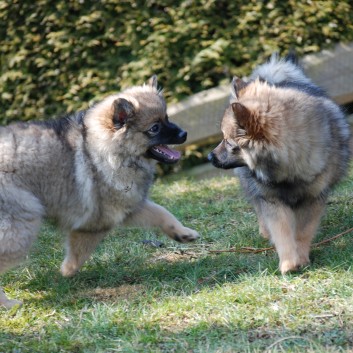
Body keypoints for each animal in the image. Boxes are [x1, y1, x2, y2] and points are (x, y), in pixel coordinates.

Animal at [0, 75, 198, 306]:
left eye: (167, 118)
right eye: (155, 128)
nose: (184, 134)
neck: (107, 150)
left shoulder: (129, 206)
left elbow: (162, 213)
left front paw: (183, 233)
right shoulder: (98, 220)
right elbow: (80, 252)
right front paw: (67, 270)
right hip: (23, 224)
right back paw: (8, 304)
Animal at [209, 53, 350, 274]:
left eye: (228, 142)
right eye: (222, 138)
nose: (210, 156)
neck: (287, 169)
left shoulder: (313, 198)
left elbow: (302, 232)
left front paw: (301, 257)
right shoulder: (271, 199)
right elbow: (282, 231)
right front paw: (289, 263)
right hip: (251, 186)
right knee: (257, 207)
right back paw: (265, 232)